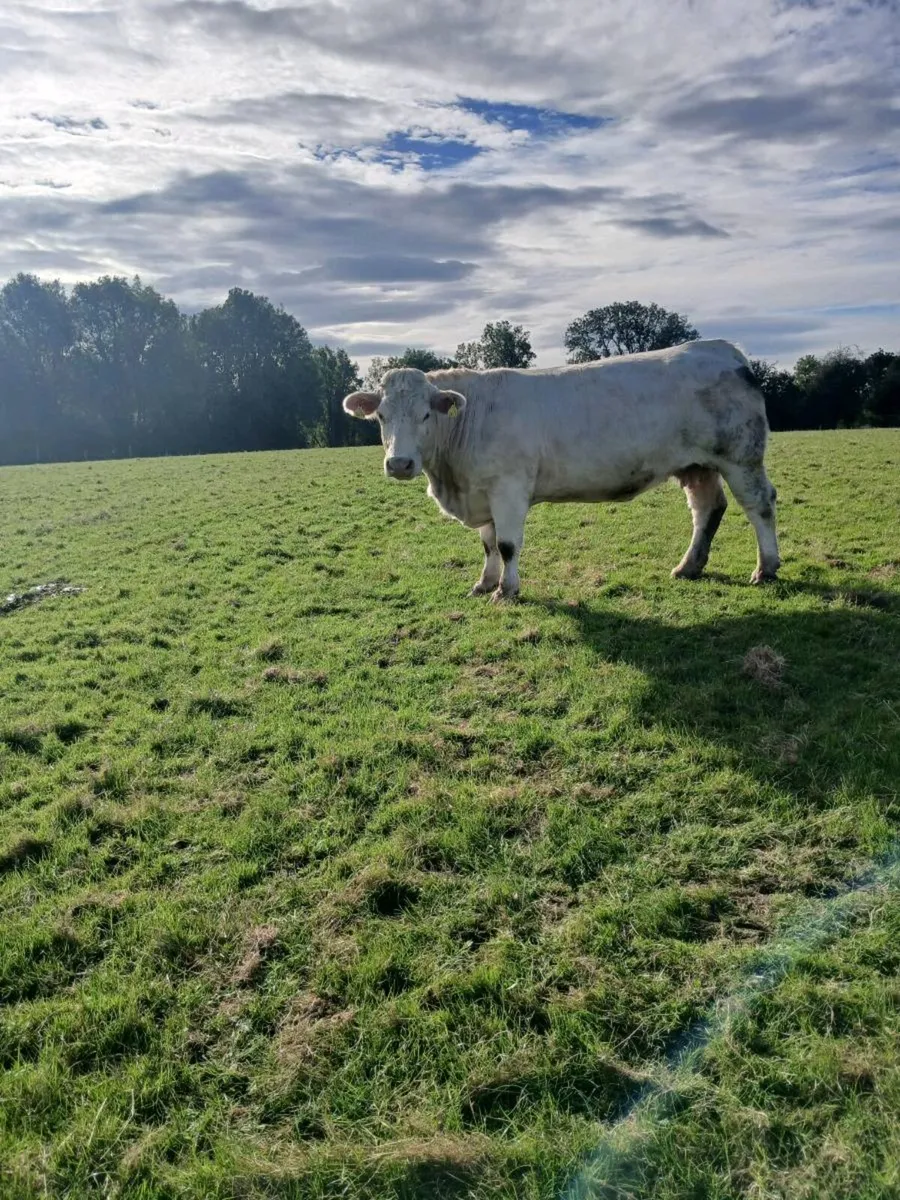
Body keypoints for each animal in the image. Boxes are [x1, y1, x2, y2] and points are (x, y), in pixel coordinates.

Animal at [343, 339, 780, 601]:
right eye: (381, 416)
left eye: (425, 414)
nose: (400, 463)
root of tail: (720, 349)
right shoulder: (482, 491)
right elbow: (488, 544)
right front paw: (484, 583)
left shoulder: (508, 488)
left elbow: (507, 544)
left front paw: (507, 590)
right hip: (698, 465)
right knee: (707, 508)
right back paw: (689, 566)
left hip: (740, 456)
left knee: (760, 505)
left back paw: (766, 568)